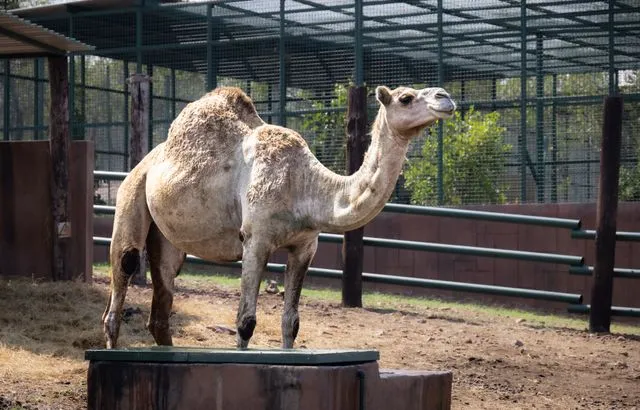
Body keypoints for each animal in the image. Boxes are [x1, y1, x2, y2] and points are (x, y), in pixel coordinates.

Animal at [102, 85, 456, 349]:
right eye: (406, 97)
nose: (445, 97)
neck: (304, 185)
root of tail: (147, 160)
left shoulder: (305, 246)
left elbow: (291, 323)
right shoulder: (255, 239)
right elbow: (245, 322)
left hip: (167, 237)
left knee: (161, 305)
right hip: (131, 196)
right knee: (123, 272)